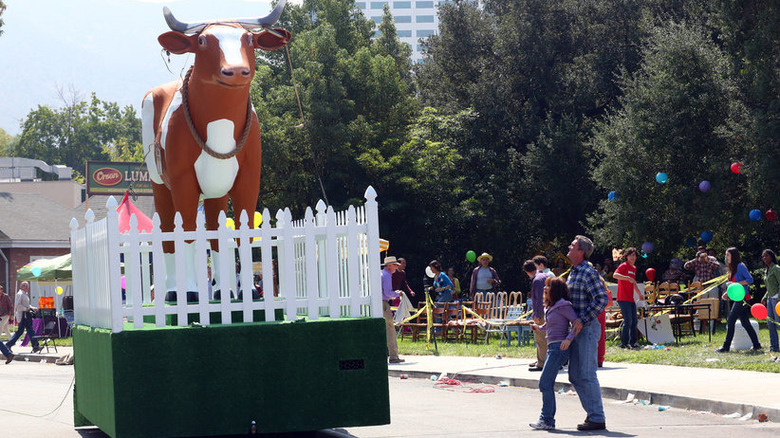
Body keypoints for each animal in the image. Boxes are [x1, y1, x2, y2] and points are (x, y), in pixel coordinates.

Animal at [143, 0, 292, 298]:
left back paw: (222, 290)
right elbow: (186, 231)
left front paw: (246, 291)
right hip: (159, 182)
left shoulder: (249, 176)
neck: (220, 123)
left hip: (216, 189)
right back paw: (174, 290)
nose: (235, 70)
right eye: (202, 41)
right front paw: (190, 292)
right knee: (168, 232)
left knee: (213, 229)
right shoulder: (182, 180)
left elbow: (240, 230)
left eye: (249, 40)